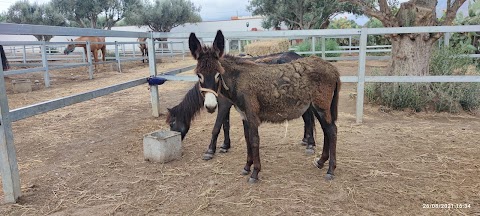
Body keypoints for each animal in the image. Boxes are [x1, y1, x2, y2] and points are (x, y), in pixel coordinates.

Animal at [188, 30, 342, 182]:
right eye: (199, 75)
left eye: (218, 75)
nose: (210, 106)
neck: (238, 80)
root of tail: (332, 69)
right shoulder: (244, 116)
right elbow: (247, 140)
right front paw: (247, 167)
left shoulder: (252, 115)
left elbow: (254, 141)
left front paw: (255, 173)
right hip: (318, 107)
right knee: (326, 130)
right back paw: (321, 162)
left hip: (321, 106)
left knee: (332, 131)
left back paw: (330, 170)